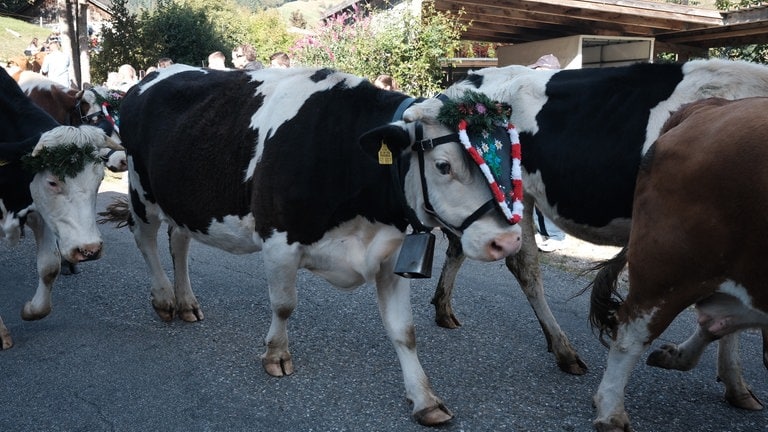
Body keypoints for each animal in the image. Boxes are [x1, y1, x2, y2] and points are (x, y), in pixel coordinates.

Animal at [0, 68, 121, 352]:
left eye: (99, 179)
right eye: (52, 181)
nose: (90, 249)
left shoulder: (39, 210)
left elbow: (49, 266)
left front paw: (32, 309)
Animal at [112, 65, 520, 426]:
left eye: (506, 158)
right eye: (443, 166)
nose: (508, 240)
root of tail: (150, 78)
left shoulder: (389, 255)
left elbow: (404, 331)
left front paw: (425, 399)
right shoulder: (278, 241)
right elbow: (284, 304)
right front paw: (276, 355)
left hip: (182, 202)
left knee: (179, 241)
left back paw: (186, 303)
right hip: (141, 191)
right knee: (145, 239)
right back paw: (165, 300)